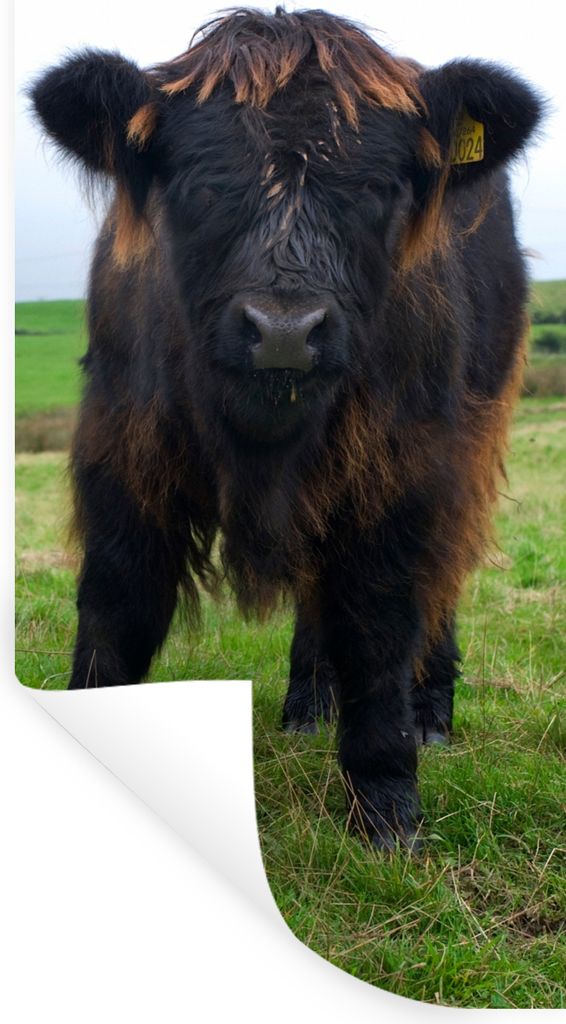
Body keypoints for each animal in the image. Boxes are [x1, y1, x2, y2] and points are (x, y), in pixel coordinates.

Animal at [30, 7, 543, 850]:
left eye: (375, 188)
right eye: (201, 184)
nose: (283, 331)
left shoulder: (403, 473)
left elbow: (380, 623)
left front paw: (387, 812)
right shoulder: (123, 456)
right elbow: (115, 607)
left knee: (441, 581)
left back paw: (432, 712)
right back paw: (306, 703)